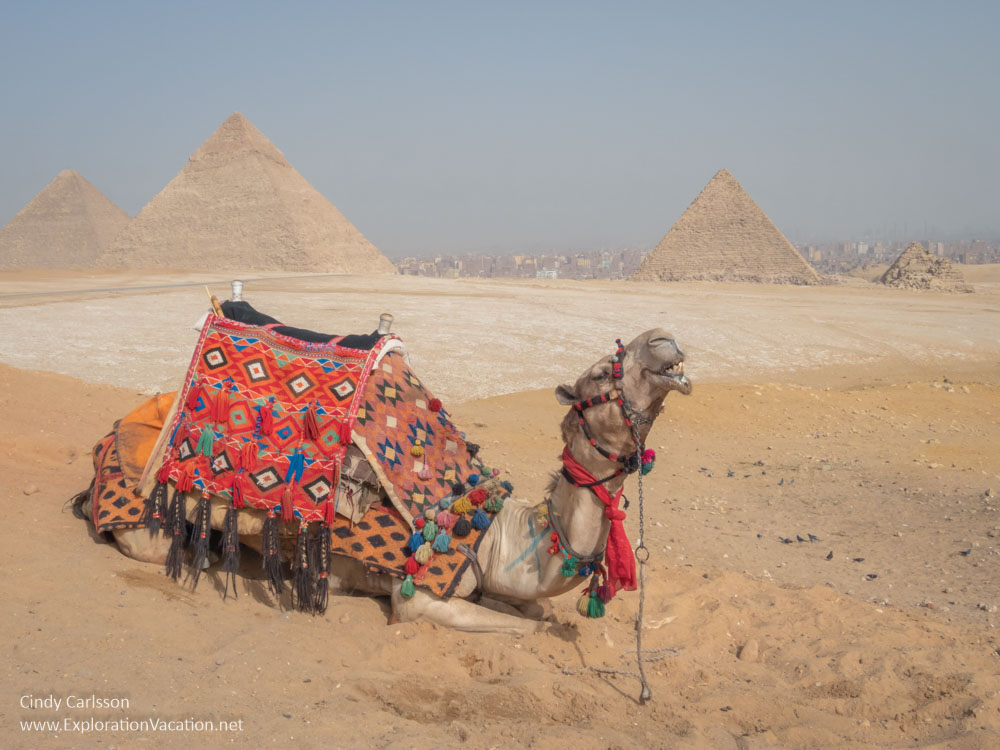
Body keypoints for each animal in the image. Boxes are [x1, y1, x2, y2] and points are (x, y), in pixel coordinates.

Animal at [78, 325, 690, 635]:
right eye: (600, 373)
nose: (665, 339)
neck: (495, 534)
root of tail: (114, 433)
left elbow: (533, 612)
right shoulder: (418, 597)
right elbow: (526, 628)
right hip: (147, 516)